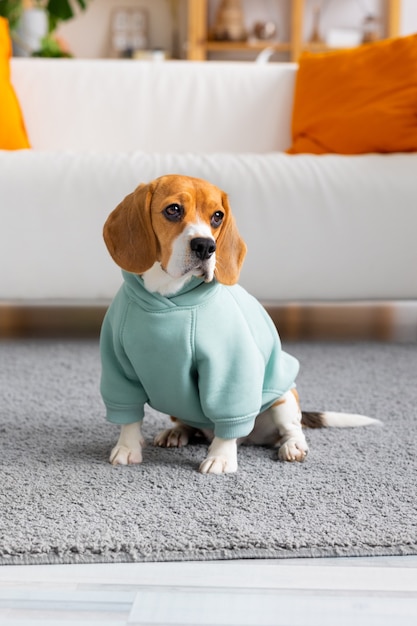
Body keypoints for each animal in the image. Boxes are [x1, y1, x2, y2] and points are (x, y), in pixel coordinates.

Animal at [101, 173, 376, 470]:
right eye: (173, 210)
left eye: (217, 216)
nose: (206, 246)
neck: (168, 298)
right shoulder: (118, 366)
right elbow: (129, 416)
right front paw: (127, 447)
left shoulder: (230, 368)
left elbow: (228, 415)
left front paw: (221, 457)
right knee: (188, 425)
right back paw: (176, 432)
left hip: (283, 397)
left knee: (291, 428)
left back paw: (292, 446)